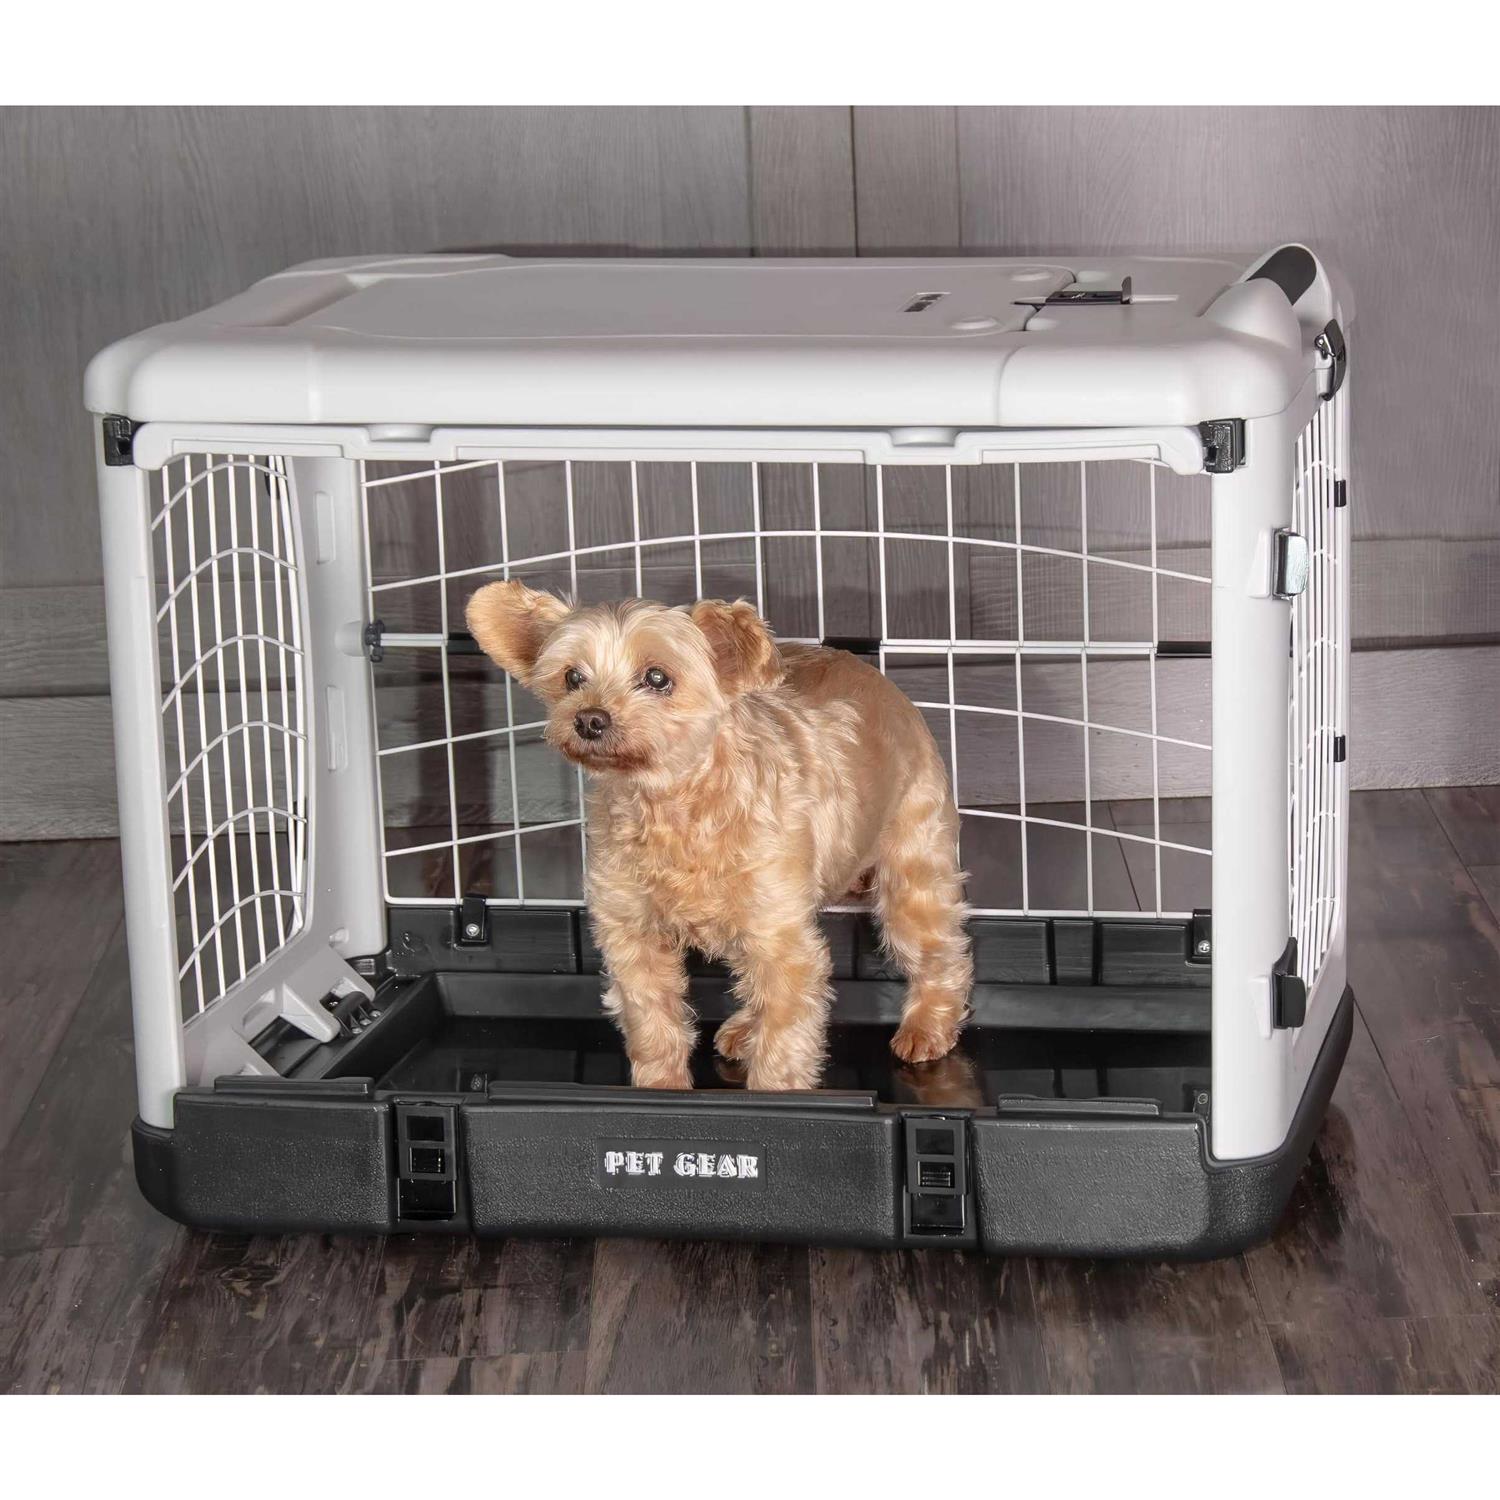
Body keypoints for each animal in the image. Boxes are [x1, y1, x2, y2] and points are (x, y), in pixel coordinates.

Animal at [465, 582, 973, 1091]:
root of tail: (882, 682)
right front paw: (660, 1088)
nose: (590, 719)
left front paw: (776, 1091)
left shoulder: (782, 942)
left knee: (940, 952)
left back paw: (928, 1026)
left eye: (657, 677)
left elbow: (783, 1043)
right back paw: (745, 1030)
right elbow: (653, 1024)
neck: (674, 806)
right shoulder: (633, 936)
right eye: (572, 677)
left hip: (913, 870)